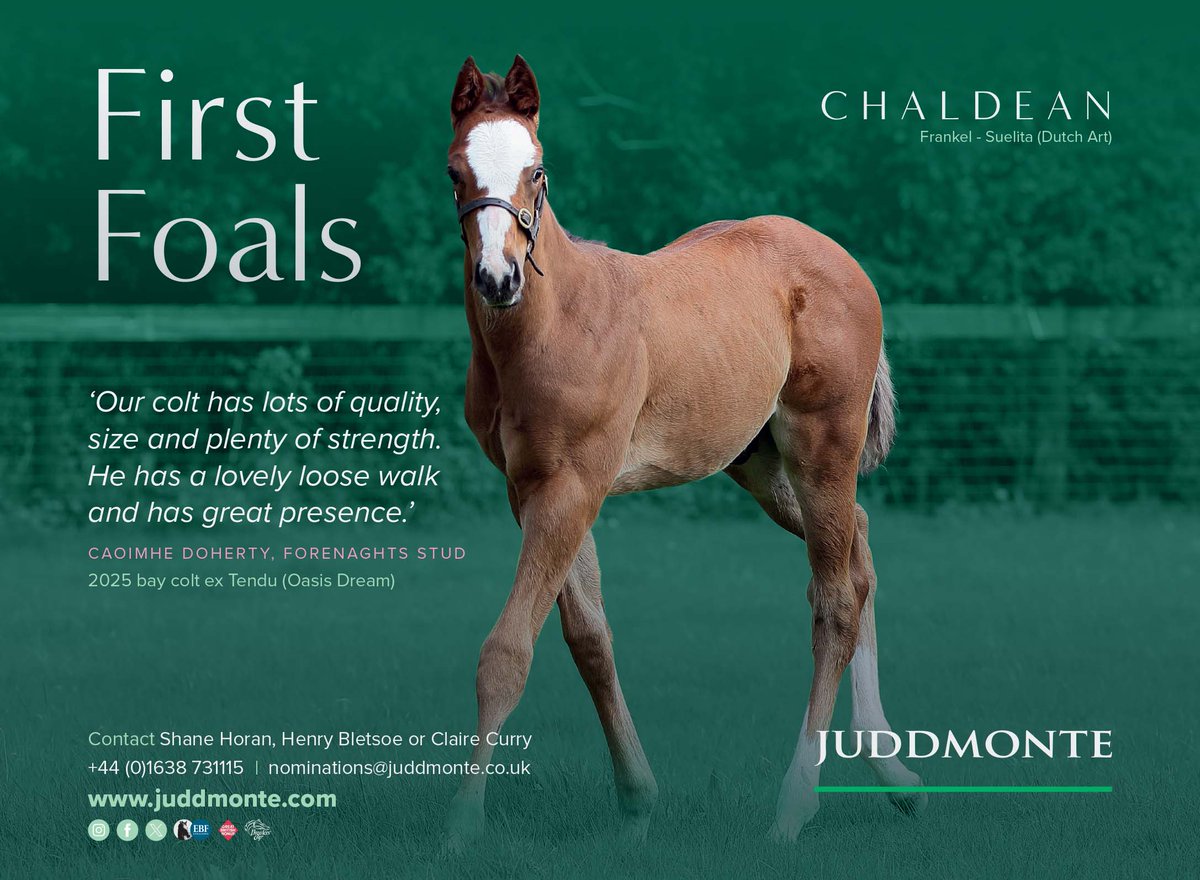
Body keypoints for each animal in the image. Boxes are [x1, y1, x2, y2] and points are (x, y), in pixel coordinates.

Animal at [444, 55, 924, 847]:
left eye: (537, 171)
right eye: (455, 170)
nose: (498, 278)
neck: (552, 326)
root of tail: (841, 259)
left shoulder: (573, 485)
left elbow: (507, 652)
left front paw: (463, 823)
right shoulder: (533, 488)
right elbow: (589, 638)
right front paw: (637, 800)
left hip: (823, 444)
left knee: (833, 602)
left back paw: (793, 807)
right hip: (759, 464)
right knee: (858, 553)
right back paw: (894, 772)